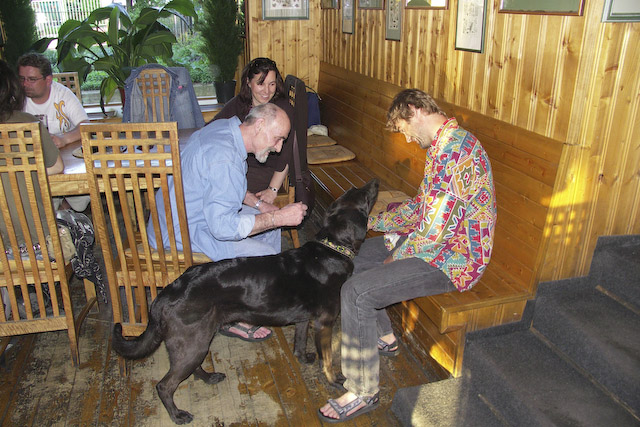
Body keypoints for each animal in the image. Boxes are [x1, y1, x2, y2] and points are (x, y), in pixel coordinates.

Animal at [111, 179, 379, 424]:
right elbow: (328, 360)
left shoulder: (304, 320)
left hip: (196, 341)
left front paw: (303, 359)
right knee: (164, 385)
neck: (331, 249)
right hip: (191, 342)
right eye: (363, 197)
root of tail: (165, 293)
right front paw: (335, 380)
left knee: (192, 368)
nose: (375, 181)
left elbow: (300, 344)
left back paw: (209, 378)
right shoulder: (325, 322)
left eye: (355, 190)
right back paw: (178, 415)